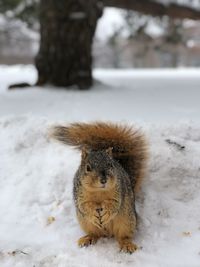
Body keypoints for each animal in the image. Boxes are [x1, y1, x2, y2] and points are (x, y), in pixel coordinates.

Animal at [50, 122, 148, 254]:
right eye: (88, 168)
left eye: (110, 165)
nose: (103, 180)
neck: (99, 192)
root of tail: (108, 233)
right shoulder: (80, 194)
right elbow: (84, 206)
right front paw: (93, 212)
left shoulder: (119, 191)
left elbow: (114, 204)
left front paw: (106, 211)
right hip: (86, 223)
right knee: (95, 234)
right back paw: (88, 238)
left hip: (127, 220)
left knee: (123, 236)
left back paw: (127, 244)